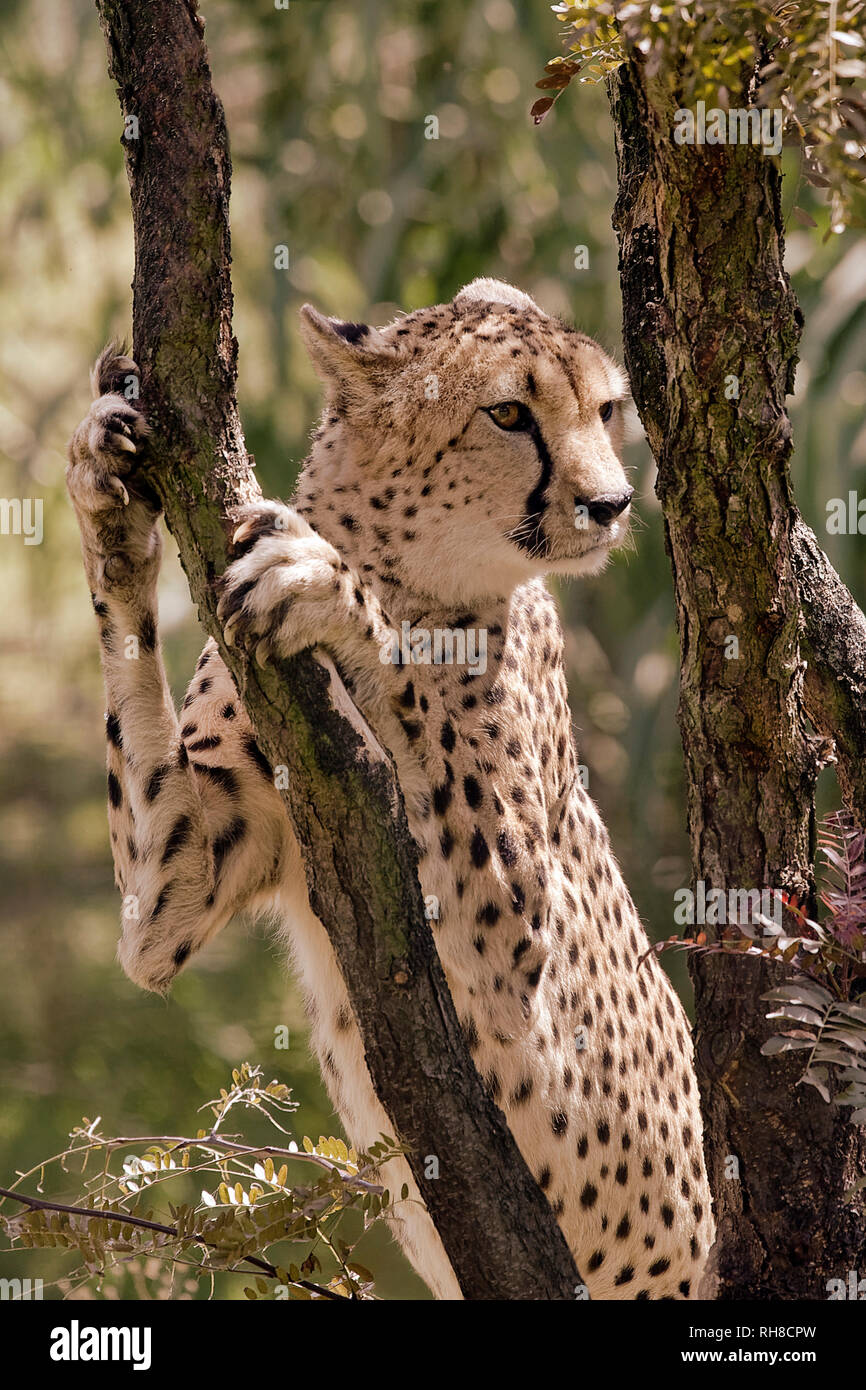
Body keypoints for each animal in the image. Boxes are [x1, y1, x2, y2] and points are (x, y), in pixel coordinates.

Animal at [67, 276, 717, 1295]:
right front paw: (108, 485)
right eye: (509, 413)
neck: (404, 557)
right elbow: (152, 913)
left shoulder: (520, 939)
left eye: (607, 408)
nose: (612, 504)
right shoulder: (180, 884)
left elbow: (405, 689)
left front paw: (330, 595)